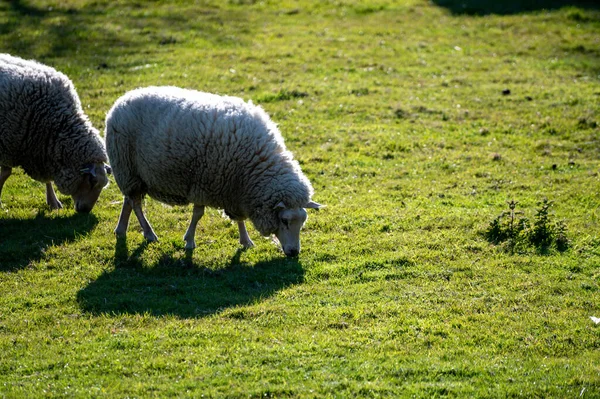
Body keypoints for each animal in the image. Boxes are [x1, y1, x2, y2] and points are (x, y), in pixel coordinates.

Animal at [0, 55, 111, 216]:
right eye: (92, 181)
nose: (85, 211)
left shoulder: (43, 150)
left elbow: (47, 178)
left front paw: (53, 202)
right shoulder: (8, 144)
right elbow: (6, 173)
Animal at [105, 86, 322, 258]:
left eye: (302, 222)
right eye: (285, 221)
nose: (294, 253)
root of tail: (123, 99)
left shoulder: (236, 191)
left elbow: (240, 219)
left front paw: (246, 241)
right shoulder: (203, 183)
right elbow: (197, 214)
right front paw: (189, 241)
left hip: (132, 173)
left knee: (129, 200)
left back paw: (121, 229)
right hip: (127, 167)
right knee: (136, 204)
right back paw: (149, 233)